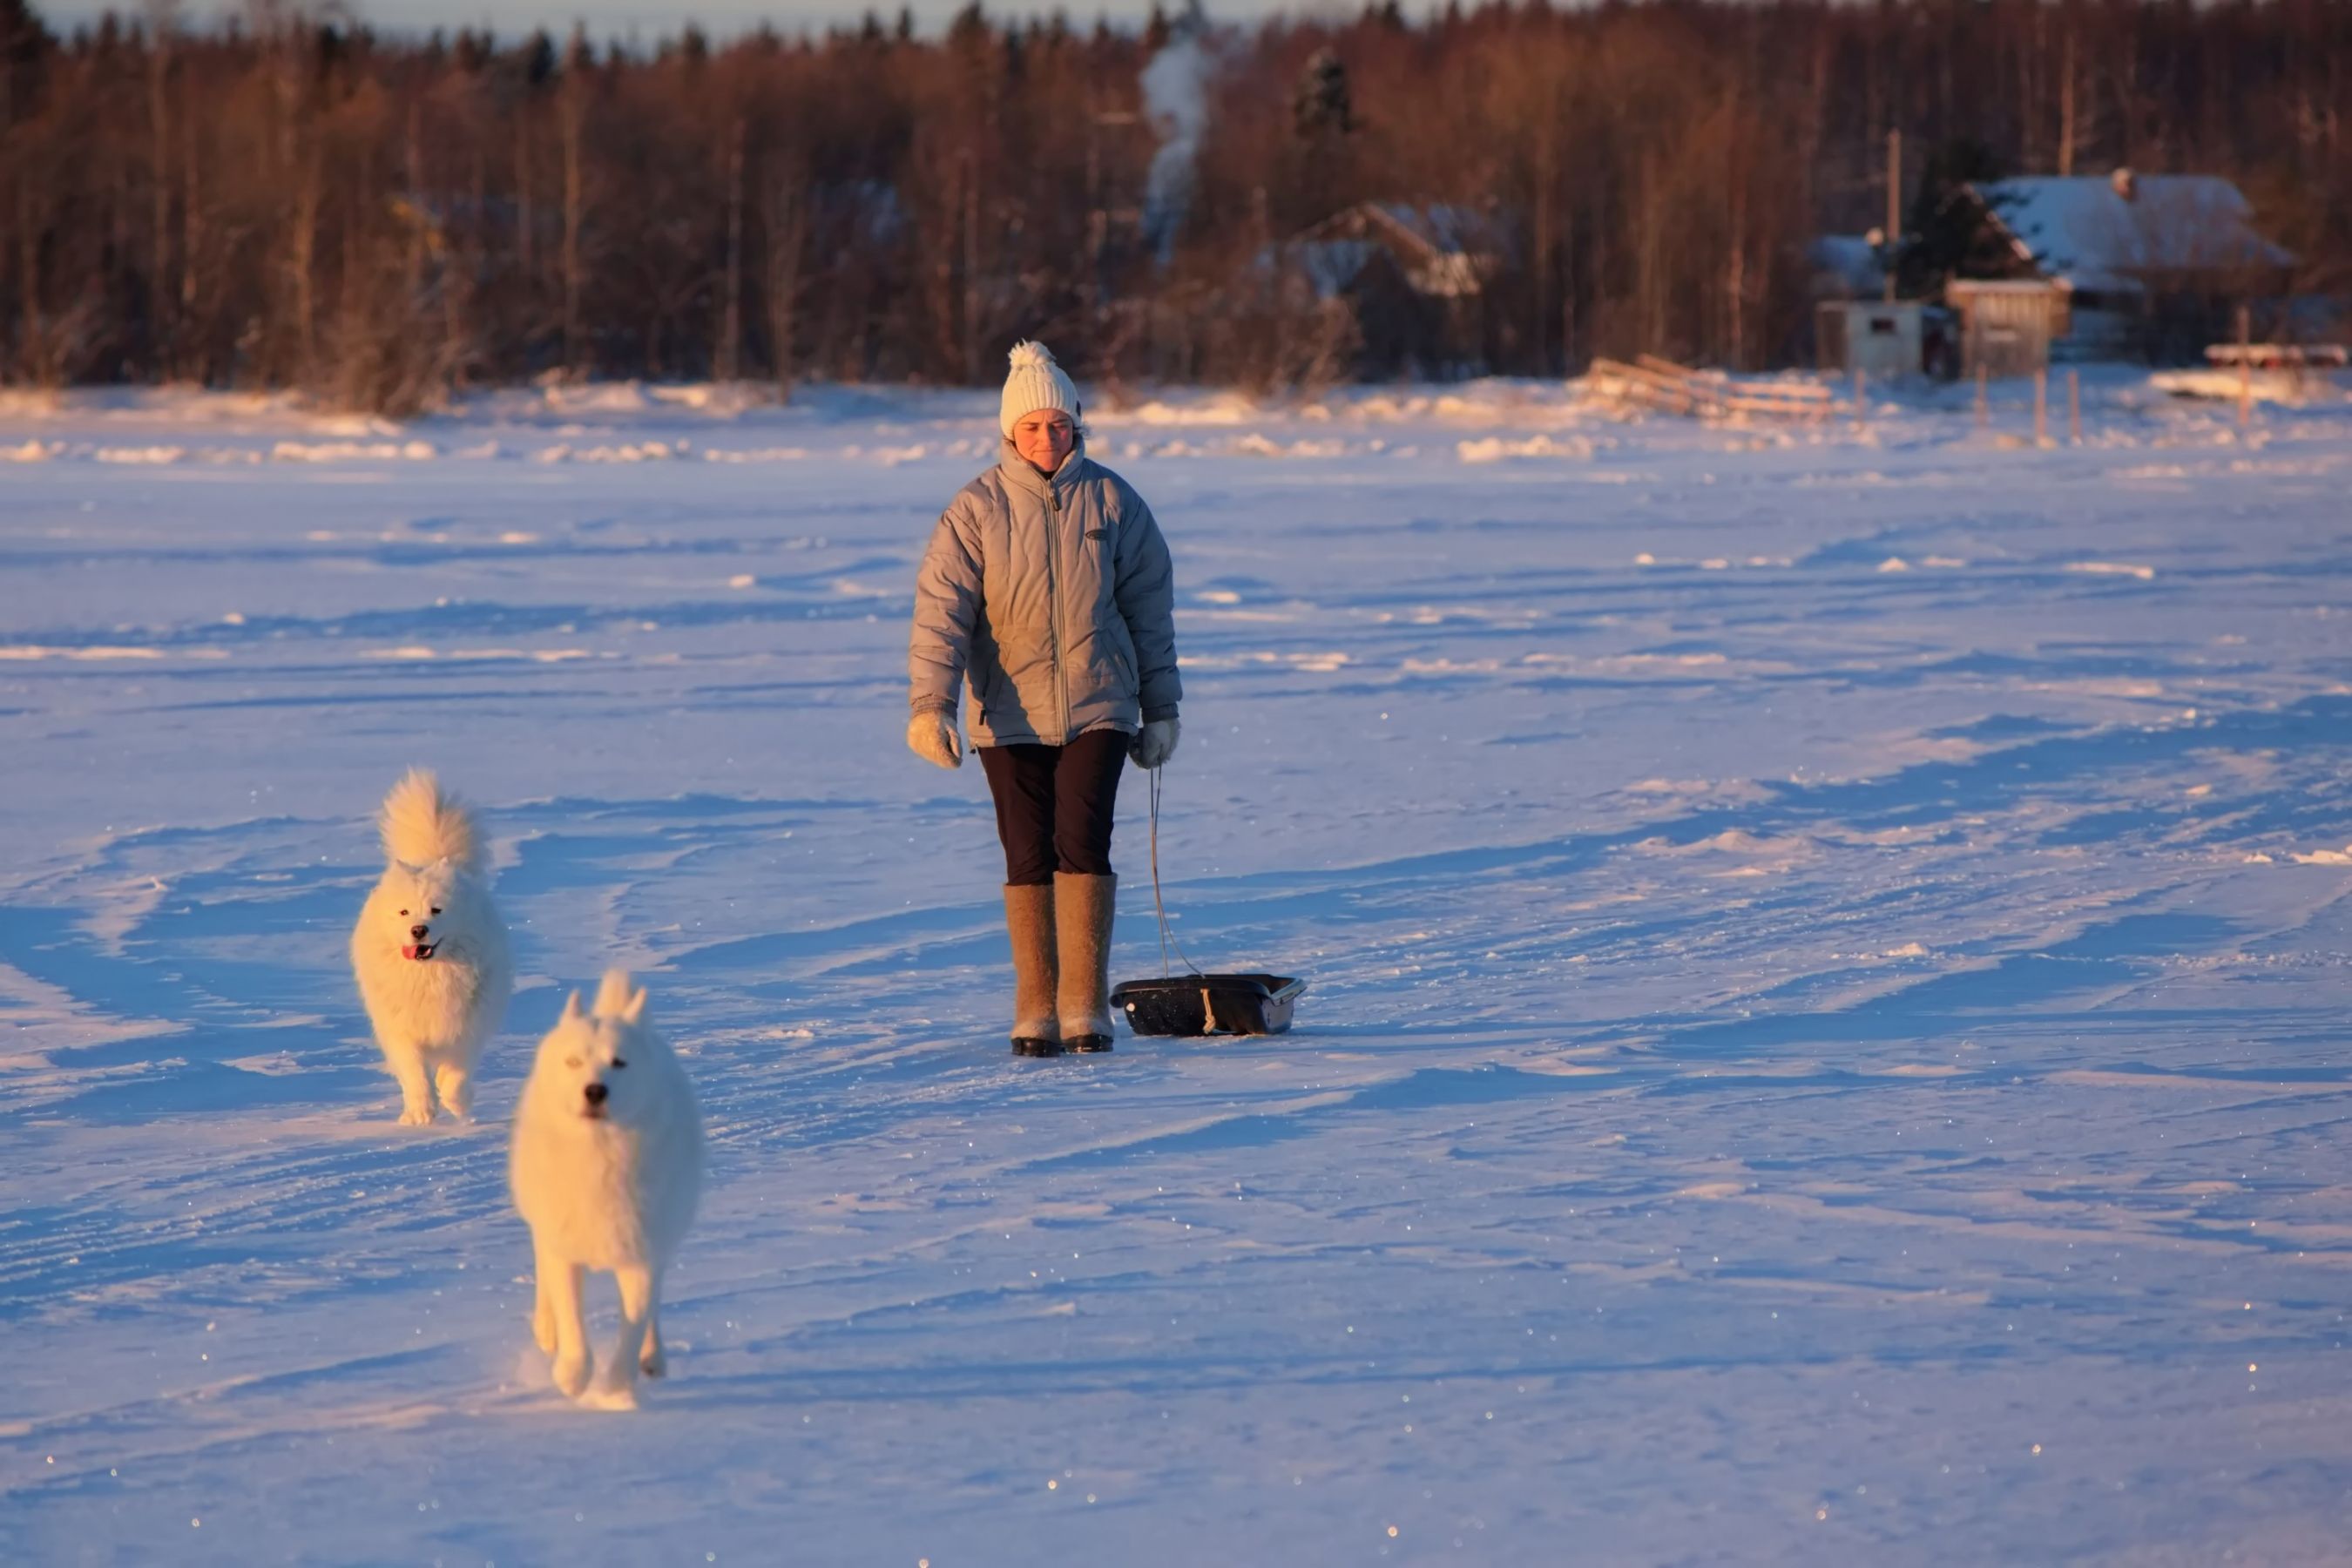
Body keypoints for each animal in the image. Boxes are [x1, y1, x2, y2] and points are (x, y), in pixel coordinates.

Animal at [345, 766, 512, 1123]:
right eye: (404, 912)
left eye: (437, 910)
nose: (418, 930)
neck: (430, 977)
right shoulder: (400, 1029)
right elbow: (415, 1071)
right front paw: (422, 1112)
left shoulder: (468, 1025)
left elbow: (456, 1072)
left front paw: (457, 1102)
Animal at [510, 968, 700, 1410]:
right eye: (574, 1062)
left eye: (619, 1063)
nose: (595, 1091)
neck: (599, 1158)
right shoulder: (564, 1247)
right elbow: (571, 1316)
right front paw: (573, 1375)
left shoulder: (641, 1251)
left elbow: (635, 1321)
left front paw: (617, 1389)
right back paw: (546, 1332)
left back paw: (654, 1359)